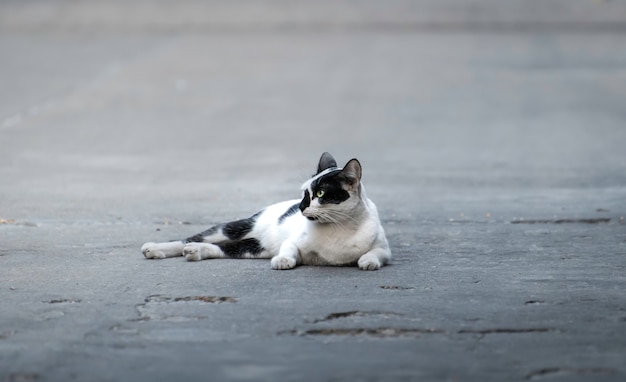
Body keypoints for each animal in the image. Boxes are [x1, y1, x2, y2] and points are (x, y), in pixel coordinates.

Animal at [141, 153, 390, 272]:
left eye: (320, 193)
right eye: (304, 194)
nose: (301, 207)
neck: (339, 227)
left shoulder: (385, 250)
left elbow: (374, 254)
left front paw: (367, 262)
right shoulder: (293, 242)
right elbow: (289, 249)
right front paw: (283, 260)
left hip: (254, 247)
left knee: (219, 248)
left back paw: (194, 252)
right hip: (233, 228)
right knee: (189, 239)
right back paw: (154, 248)